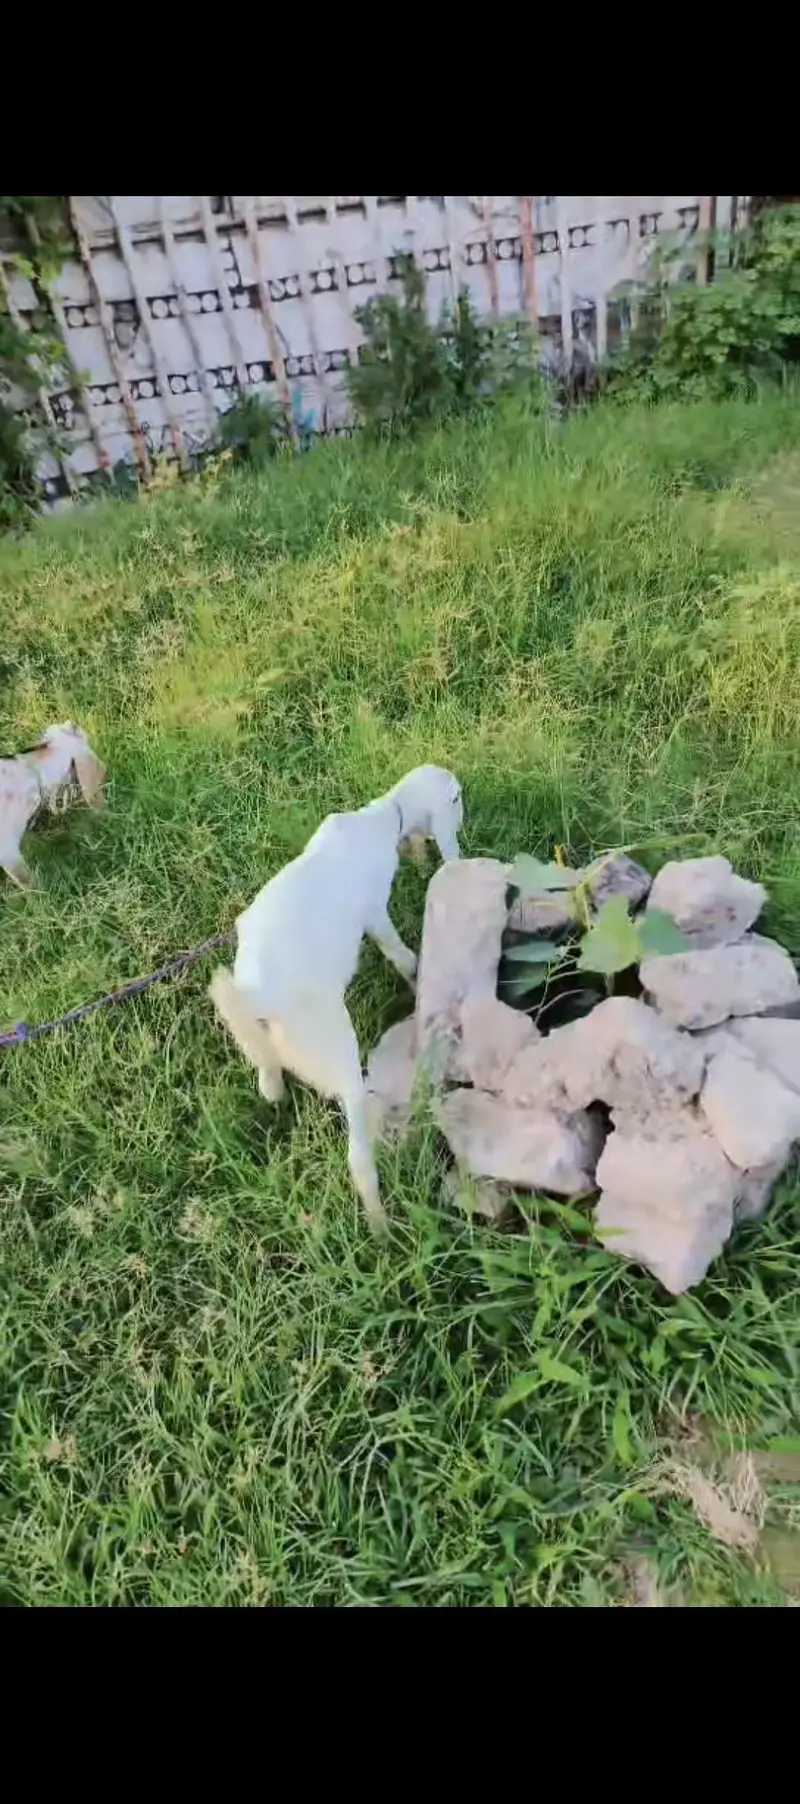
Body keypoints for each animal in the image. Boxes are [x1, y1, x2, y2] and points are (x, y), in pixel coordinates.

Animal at [209, 765, 463, 1233]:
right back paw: (382, 1227)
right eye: (457, 799)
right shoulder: (374, 912)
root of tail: (260, 1002)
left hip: (259, 1045)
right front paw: (417, 977)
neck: (384, 814)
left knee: (268, 1078)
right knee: (359, 1159)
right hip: (339, 1056)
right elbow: (399, 954)